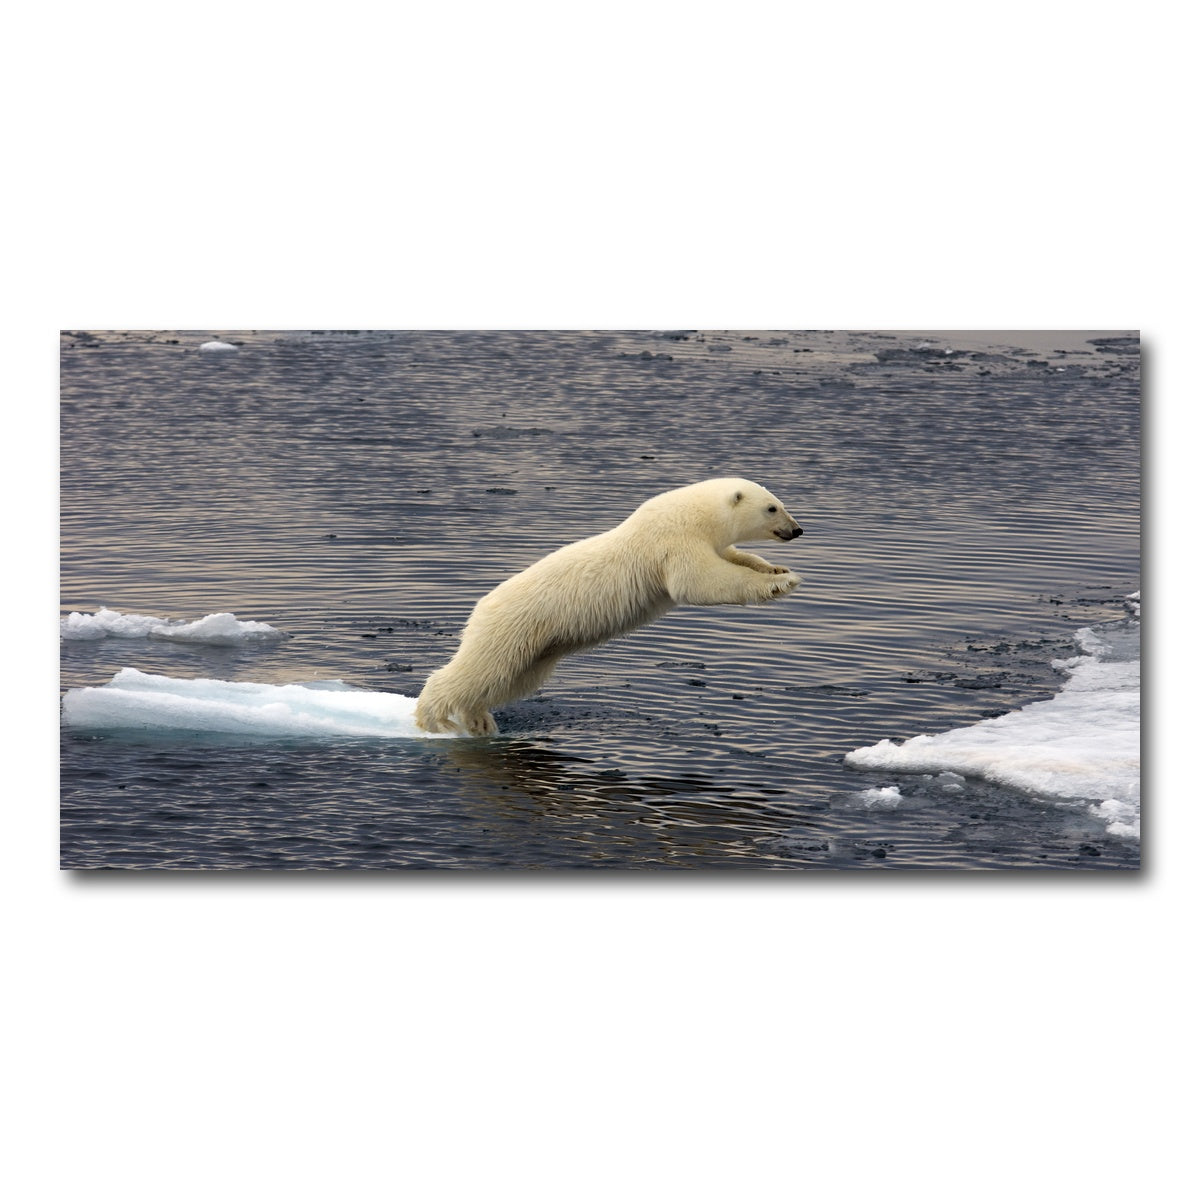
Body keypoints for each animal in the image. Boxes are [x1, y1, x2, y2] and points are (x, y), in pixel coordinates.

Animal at [413, 477, 803, 736]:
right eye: (772, 507)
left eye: (781, 502)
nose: (797, 530)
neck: (693, 514)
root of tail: (480, 607)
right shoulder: (672, 542)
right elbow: (701, 582)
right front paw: (779, 583)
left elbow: (734, 557)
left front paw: (776, 569)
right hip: (514, 627)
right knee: (480, 670)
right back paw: (433, 718)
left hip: (538, 647)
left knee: (509, 679)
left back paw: (479, 720)